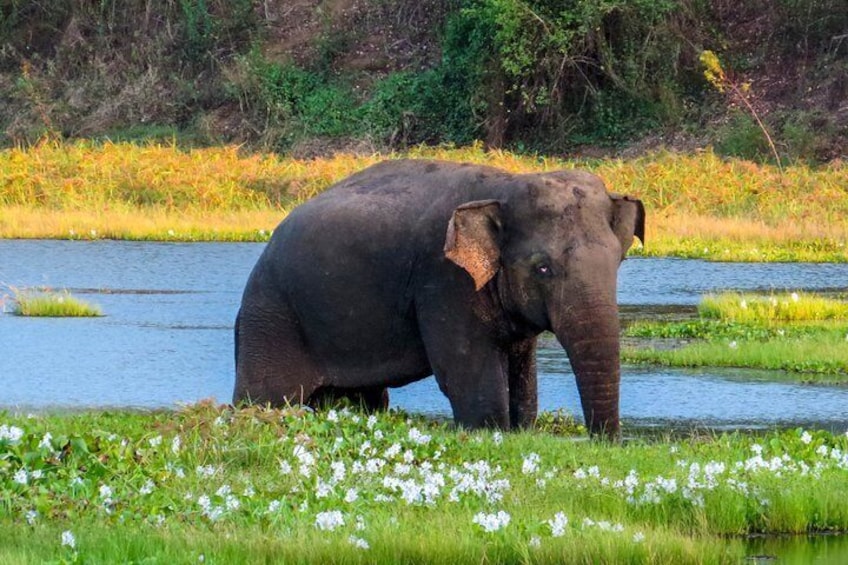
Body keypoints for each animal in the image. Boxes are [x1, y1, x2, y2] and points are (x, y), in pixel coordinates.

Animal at [232, 159, 644, 436]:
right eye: (543, 268)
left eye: (618, 262)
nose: (604, 443)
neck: (505, 186)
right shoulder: (444, 281)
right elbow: (466, 377)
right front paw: (491, 431)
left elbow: (523, 379)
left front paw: (520, 429)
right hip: (272, 319)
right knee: (265, 395)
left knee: (364, 399)